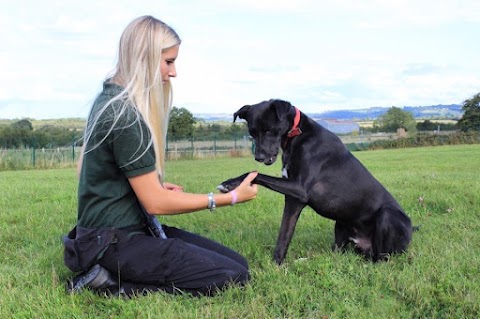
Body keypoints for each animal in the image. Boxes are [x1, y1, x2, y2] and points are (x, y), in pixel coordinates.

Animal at [218, 99, 412, 264]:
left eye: (269, 130)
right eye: (252, 133)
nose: (259, 157)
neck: (297, 133)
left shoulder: (299, 189)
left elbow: (255, 173)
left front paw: (229, 184)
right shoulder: (293, 200)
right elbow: (284, 234)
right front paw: (277, 265)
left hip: (387, 217)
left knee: (380, 258)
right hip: (341, 224)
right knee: (336, 254)